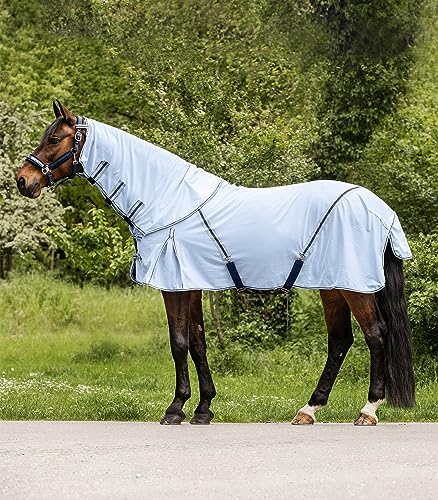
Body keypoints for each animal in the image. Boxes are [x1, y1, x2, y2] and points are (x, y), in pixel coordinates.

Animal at [16, 101, 414, 426]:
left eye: (54, 138)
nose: (23, 180)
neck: (169, 201)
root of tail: (381, 209)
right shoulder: (190, 286)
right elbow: (198, 342)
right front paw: (203, 408)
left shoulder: (175, 287)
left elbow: (178, 342)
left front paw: (175, 409)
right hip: (332, 286)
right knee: (340, 341)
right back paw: (309, 410)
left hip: (354, 287)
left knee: (376, 334)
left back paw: (368, 410)